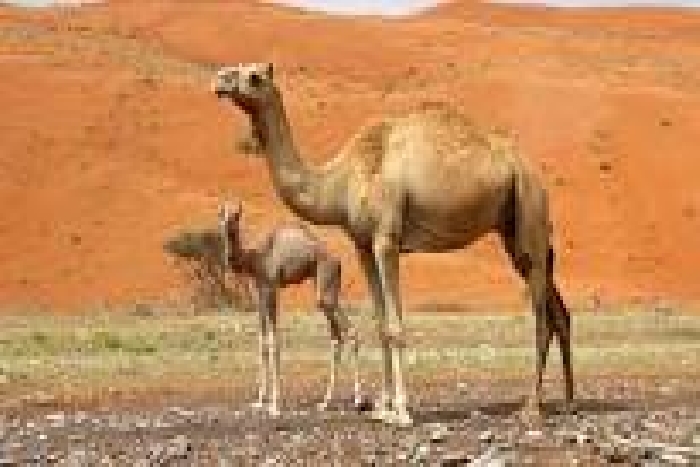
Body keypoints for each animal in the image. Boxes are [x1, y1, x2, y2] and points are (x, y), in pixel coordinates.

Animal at [218, 200, 361, 415]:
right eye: (222, 215)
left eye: (236, 216)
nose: (227, 226)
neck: (254, 259)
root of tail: (338, 262)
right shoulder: (259, 295)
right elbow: (262, 344)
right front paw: (259, 402)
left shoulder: (271, 289)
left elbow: (274, 342)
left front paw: (275, 405)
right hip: (324, 289)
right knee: (336, 338)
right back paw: (325, 403)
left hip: (326, 286)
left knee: (350, 331)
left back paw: (358, 400)